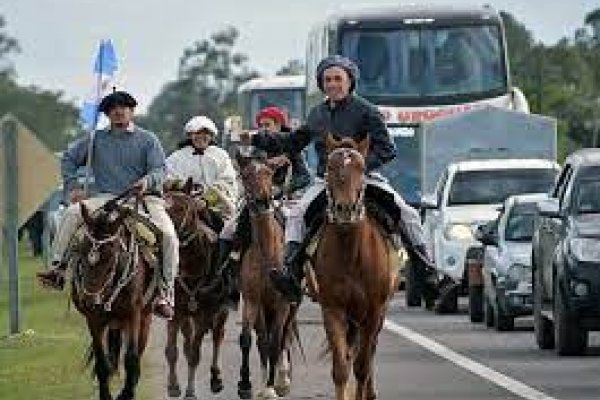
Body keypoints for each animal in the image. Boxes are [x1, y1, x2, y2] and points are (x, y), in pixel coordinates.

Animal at [71, 197, 155, 400]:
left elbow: (131, 358)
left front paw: (127, 393)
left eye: (110, 254)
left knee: (138, 353)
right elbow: (102, 362)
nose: (88, 300)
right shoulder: (93, 319)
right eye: (83, 249)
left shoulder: (133, 314)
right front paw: (105, 395)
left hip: (144, 317)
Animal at [163, 182, 229, 400]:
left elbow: (194, 353)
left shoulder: (204, 314)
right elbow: (172, 351)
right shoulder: (175, 313)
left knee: (218, 336)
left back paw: (216, 378)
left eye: (184, 208)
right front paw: (173, 386)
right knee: (186, 340)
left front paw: (190, 391)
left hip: (221, 312)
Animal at [310, 134, 404, 400]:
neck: (351, 253)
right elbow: (341, 368)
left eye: (361, 168)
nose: (345, 209)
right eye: (330, 167)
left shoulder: (373, 311)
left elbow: (362, 366)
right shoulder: (333, 309)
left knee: (369, 353)